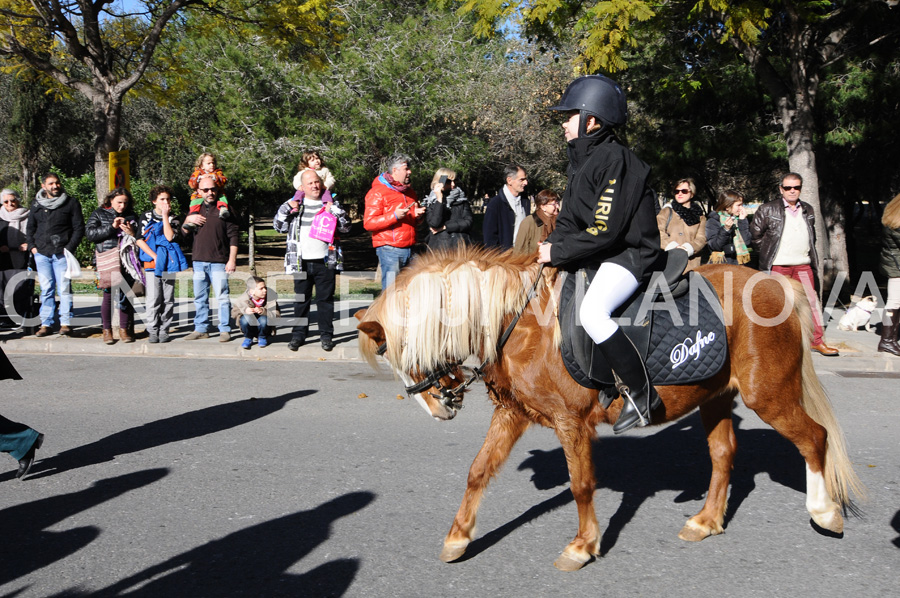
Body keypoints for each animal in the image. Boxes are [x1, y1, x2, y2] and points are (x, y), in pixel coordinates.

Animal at [354, 246, 864, 576]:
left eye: (400, 351)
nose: (437, 408)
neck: (522, 322)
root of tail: (777, 282)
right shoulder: (512, 415)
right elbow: (478, 471)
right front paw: (458, 538)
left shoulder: (570, 423)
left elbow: (582, 485)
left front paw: (582, 546)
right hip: (717, 398)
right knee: (723, 455)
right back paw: (706, 522)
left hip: (769, 395)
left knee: (813, 439)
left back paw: (824, 513)